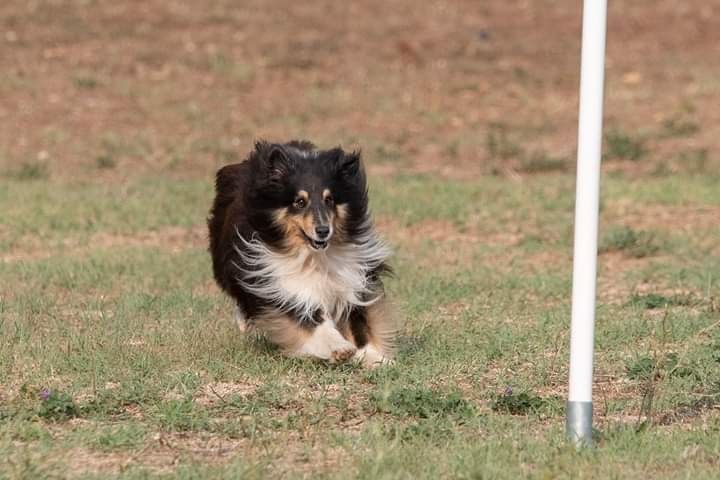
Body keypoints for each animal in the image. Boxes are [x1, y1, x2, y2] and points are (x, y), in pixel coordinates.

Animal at [208, 141, 396, 366]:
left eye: (329, 199)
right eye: (299, 202)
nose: (323, 230)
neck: (313, 256)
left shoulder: (352, 274)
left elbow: (358, 320)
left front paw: (375, 358)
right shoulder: (275, 277)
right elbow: (307, 317)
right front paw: (339, 348)